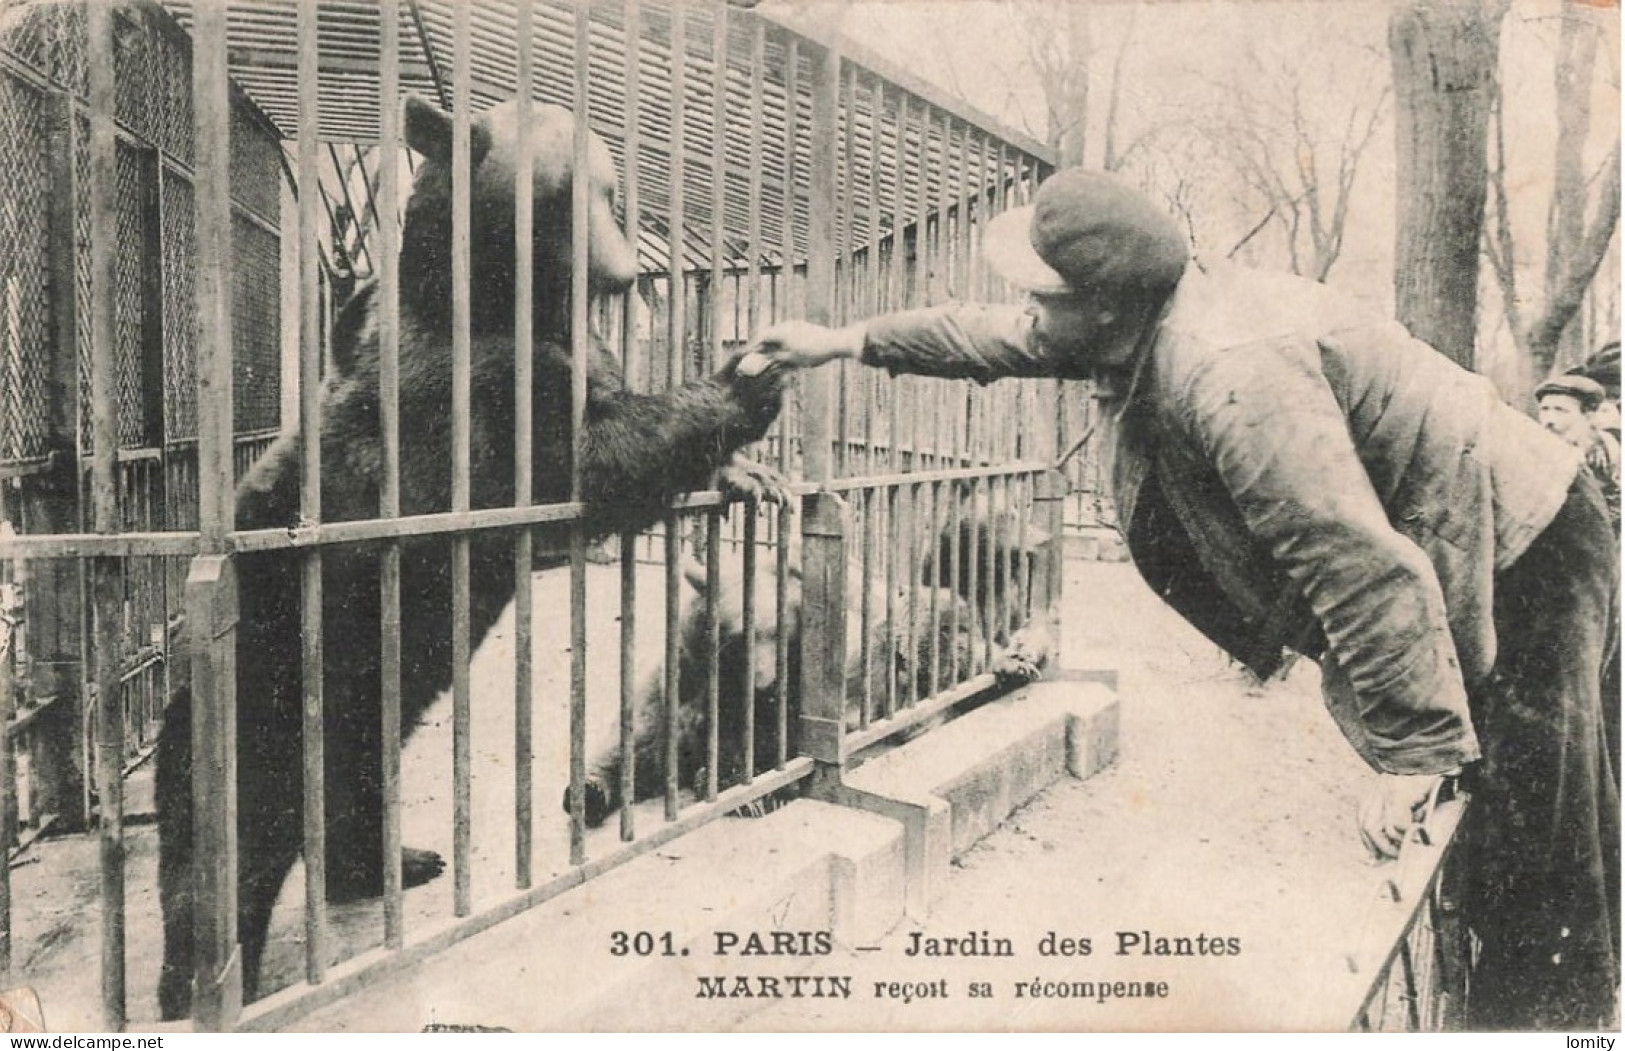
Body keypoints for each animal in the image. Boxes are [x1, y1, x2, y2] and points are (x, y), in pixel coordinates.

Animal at [155, 96, 789, 1020]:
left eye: (612, 192)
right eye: (567, 194)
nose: (623, 273)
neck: (499, 296)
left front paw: (753, 473)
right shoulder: (469, 391)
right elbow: (589, 456)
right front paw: (747, 379)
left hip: (364, 696)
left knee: (355, 781)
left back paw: (401, 861)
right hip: (266, 684)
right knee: (225, 840)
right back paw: (192, 984)